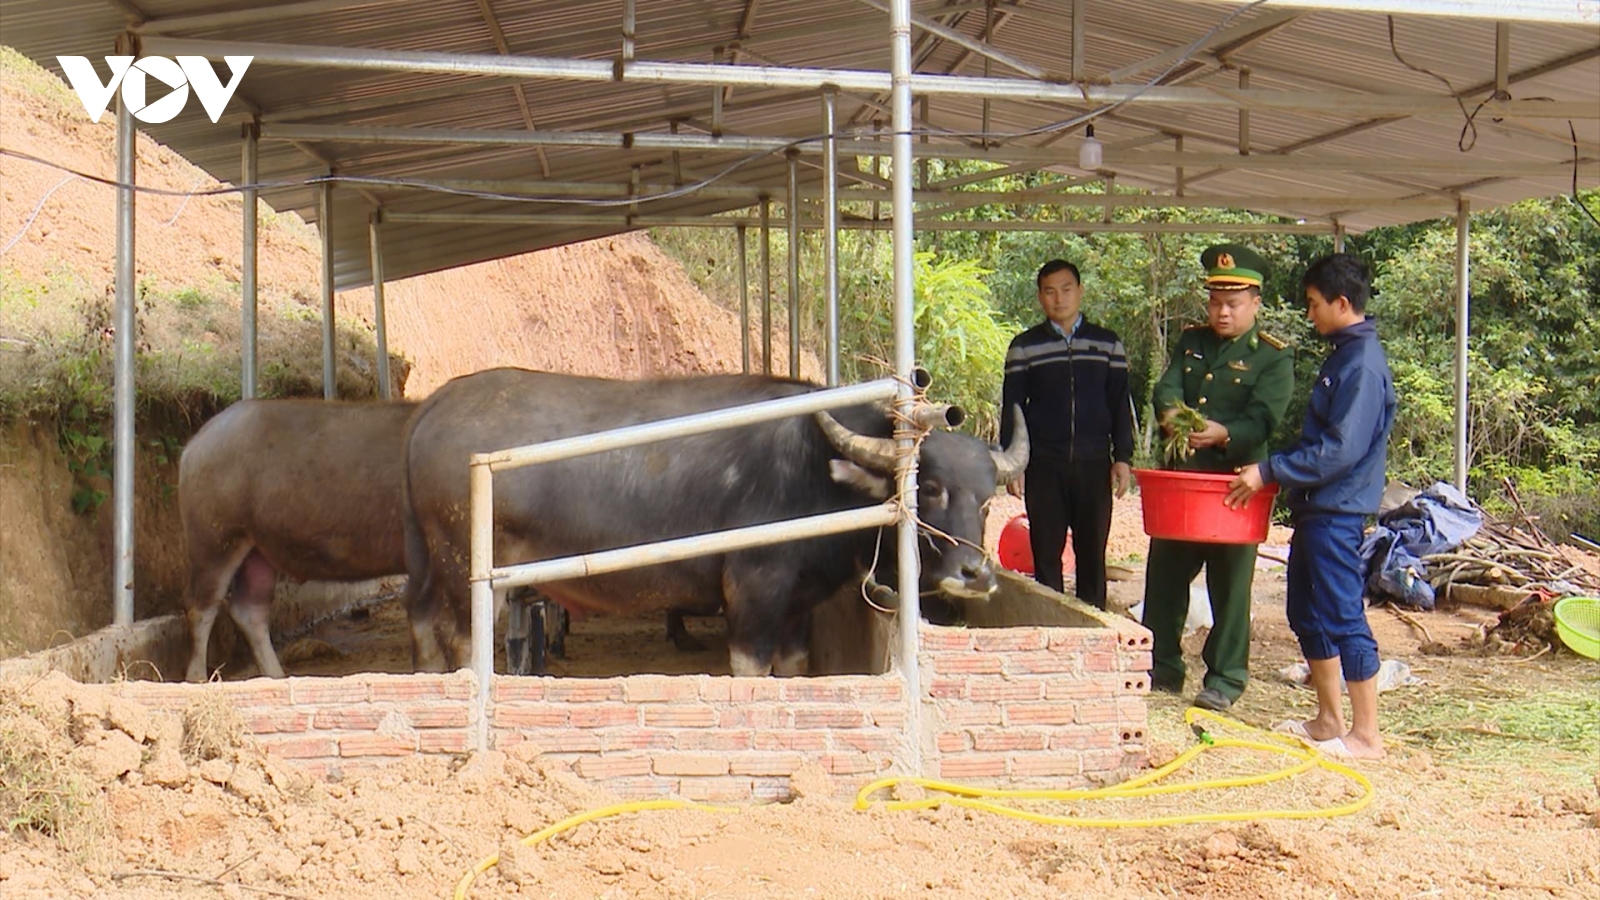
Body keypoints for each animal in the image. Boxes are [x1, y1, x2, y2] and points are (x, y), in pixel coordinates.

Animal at [180, 398, 419, 679]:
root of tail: (195, 445)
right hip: (216, 542)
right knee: (200, 607)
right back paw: (197, 679)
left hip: (257, 550)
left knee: (249, 610)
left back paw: (276, 675)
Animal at [398, 366, 1024, 672]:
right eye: (929, 488)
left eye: (986, 499)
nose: (976, 574)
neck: (813, 466)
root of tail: (433, 409)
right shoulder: (752, 598)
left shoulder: (795, 611)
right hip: (466, 573)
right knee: (464, 640)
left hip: (429, 563)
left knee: (421, 618)